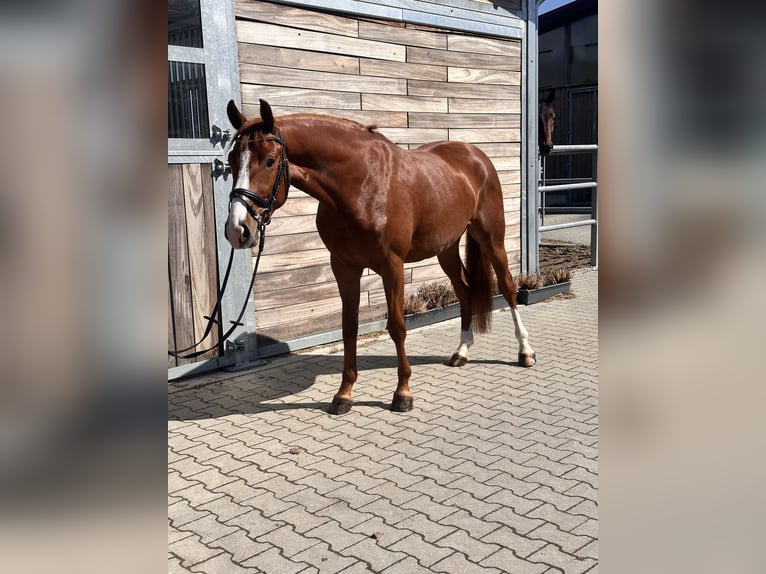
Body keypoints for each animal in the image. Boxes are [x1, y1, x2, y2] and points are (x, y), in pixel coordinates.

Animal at [224, 99, 535, 415]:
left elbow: (397, 326)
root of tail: (475, 155)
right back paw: (461, 351)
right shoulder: (343, 267)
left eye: (269, 161)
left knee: (508, 287)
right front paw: (344, 394)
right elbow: (349, 328)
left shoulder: (391, 265)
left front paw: (403, 393)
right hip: (446, 247)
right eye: (232, 160)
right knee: (464, 289)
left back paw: (525, 351)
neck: (359, 185)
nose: (237, 230)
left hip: (491, 238)